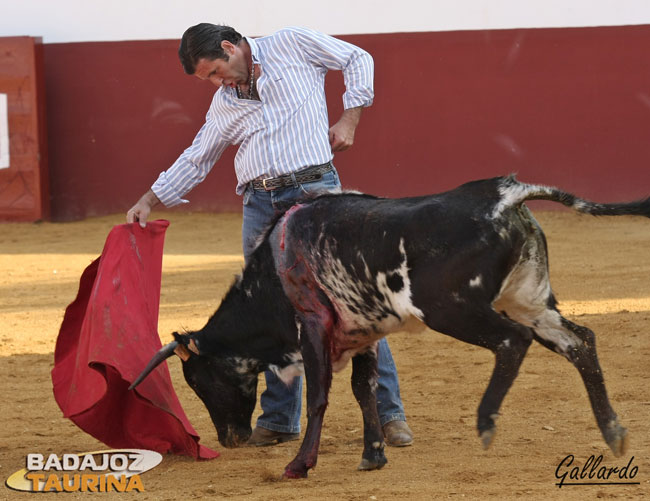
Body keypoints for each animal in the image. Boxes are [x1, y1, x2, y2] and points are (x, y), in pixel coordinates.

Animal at [129, 175, 644, 476]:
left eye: (197, 381)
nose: (228, 440)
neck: (272, 272)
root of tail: (503, 195)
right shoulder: (364, 333)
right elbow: (365, 390)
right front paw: (373, 455)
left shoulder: (312, 325)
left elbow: (319, 396)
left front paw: (299, 465)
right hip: (528, 301)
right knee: (581, 342)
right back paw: (614, 433)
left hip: (453, 308)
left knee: (511, 342)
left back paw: (485, 423)